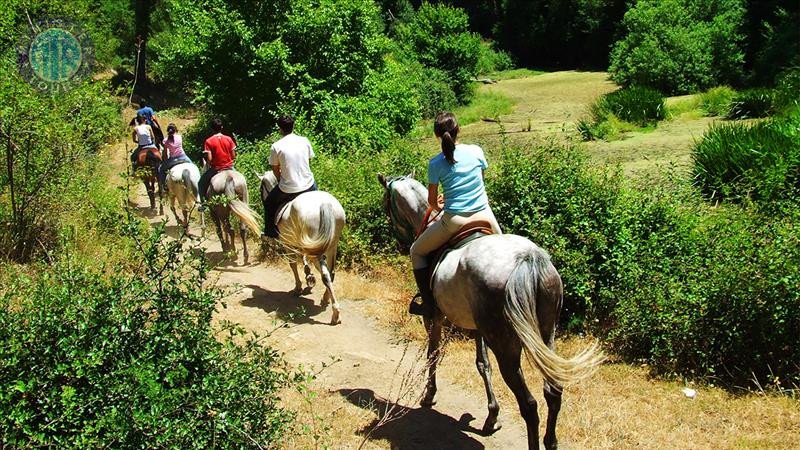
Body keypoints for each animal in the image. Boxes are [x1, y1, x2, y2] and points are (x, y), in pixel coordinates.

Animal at [256, 171, 344, 324]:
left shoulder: (287, 243)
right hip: (331, 245)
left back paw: (335, 313)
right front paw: (309, 275)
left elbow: (292, 264)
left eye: (262, 188)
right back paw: (326, 299)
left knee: (325, 274)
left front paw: (298, 287)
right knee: (331, 272)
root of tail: (325, 204)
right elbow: (303, 260)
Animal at [378, 173, 604, 450]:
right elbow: (482, 363)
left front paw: (429, 395)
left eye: (387, 205)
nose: (401, 243)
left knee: (529, 405)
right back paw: (551, 441)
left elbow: (434, 354)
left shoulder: (435, 317)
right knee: (553, 391)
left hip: (505, 345)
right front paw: (492, 416)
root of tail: (527, 259)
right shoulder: (479, 328)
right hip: (546, 334)